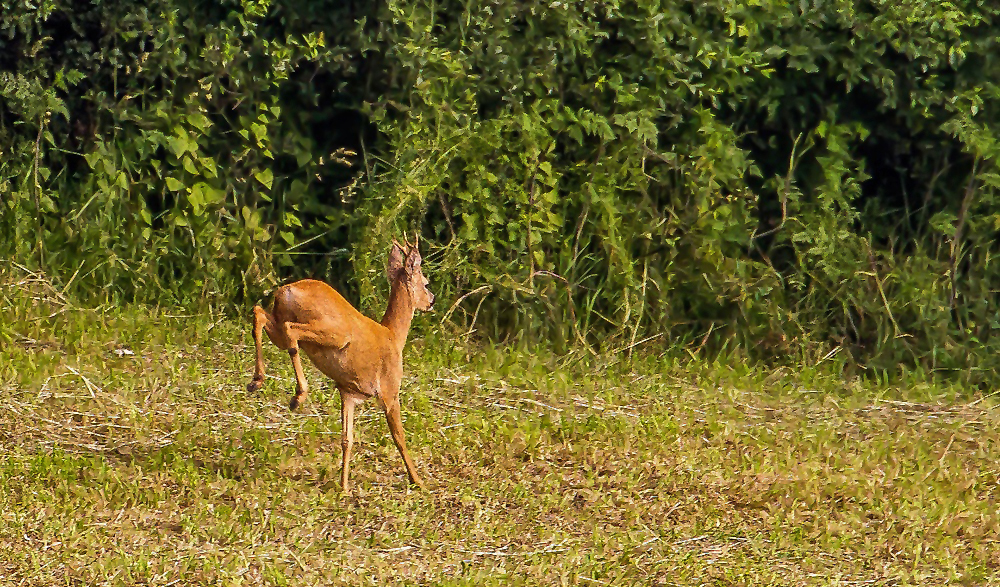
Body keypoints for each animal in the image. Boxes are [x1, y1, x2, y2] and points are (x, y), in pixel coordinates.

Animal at [246, 237, 434, 494]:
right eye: (425, 283)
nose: (431, 301)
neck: (394, 337)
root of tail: (287, 290)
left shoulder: (348, 392)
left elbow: (347, 439)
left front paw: (344, 486)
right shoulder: (389, 390)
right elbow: (399, 437)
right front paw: (418, 481)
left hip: (282, 324)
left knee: (259, 314)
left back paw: (256, 381)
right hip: (333, 332)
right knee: (290, 330)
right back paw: (298, 395)